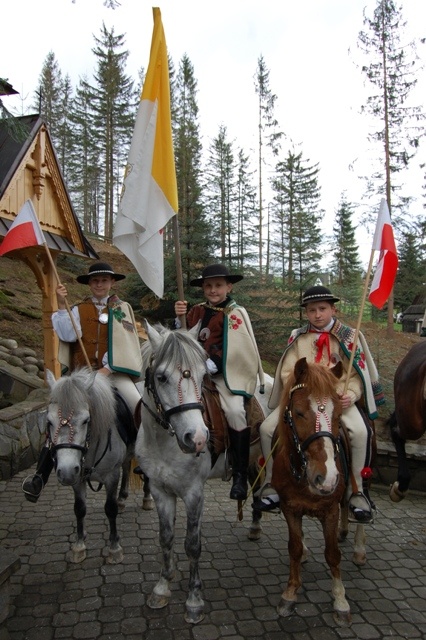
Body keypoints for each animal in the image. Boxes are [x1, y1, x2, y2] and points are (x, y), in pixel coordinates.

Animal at [274, 358, 368, 628]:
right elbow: (294, 547)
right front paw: (290, 593)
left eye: (337, 415)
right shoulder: (289, 507)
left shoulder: (329, 510)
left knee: (358, 503)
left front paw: (340, 600)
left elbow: (332, 555)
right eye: (298, 412)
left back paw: (359, 548)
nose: (326, 478)